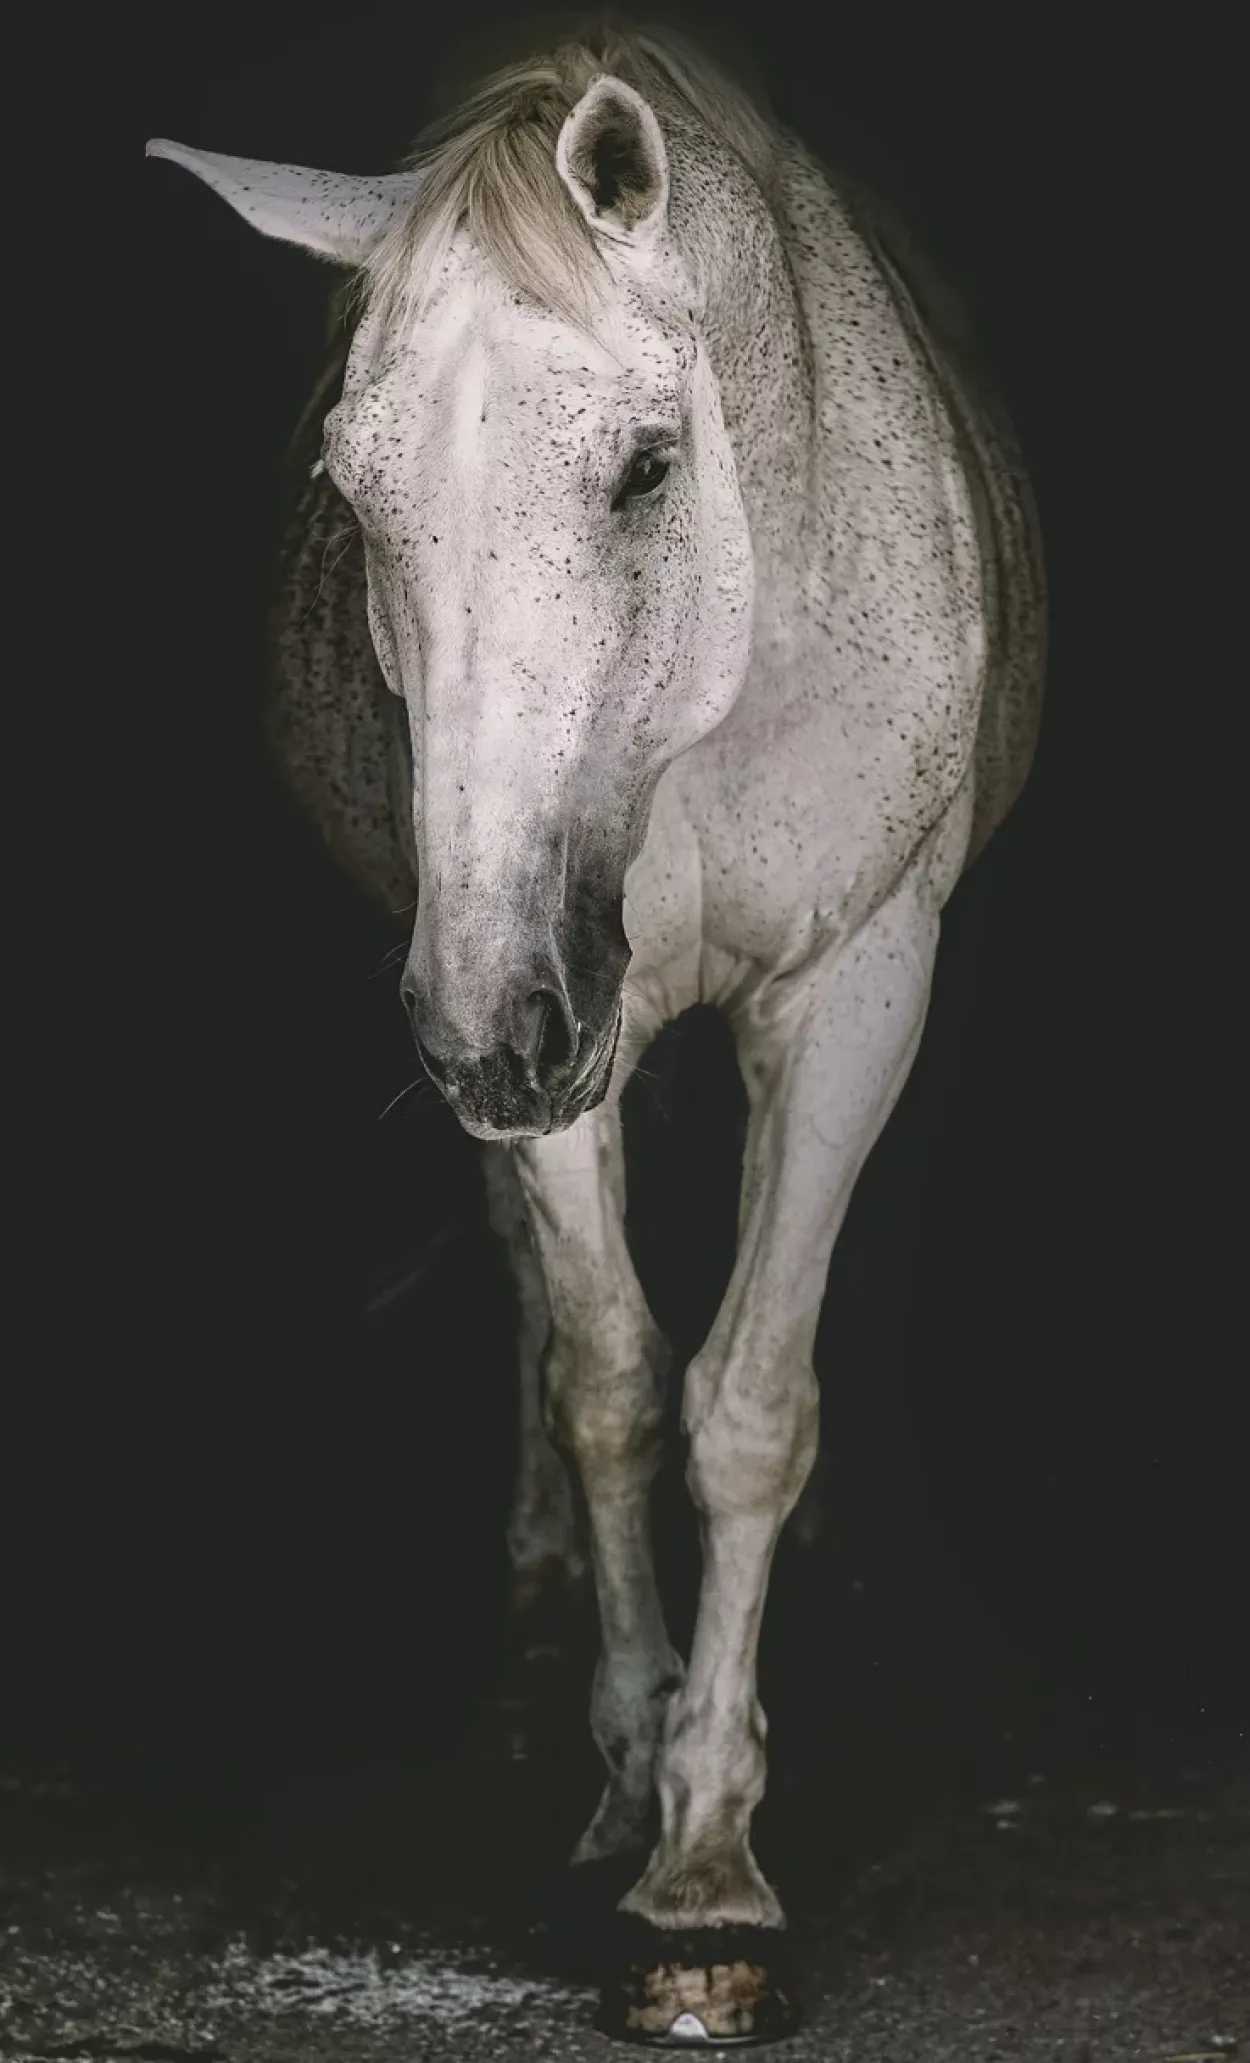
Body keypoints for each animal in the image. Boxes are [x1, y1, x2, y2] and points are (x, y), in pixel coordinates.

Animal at [148, 19, 1044, 2044]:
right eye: (354, 486)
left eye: (644, 466)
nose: (482, 1019)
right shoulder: (559, 1025)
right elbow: (617, 1380)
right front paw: (636, 1782)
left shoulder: (854, 991)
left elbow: (751, 1405)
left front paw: (709, 1870)